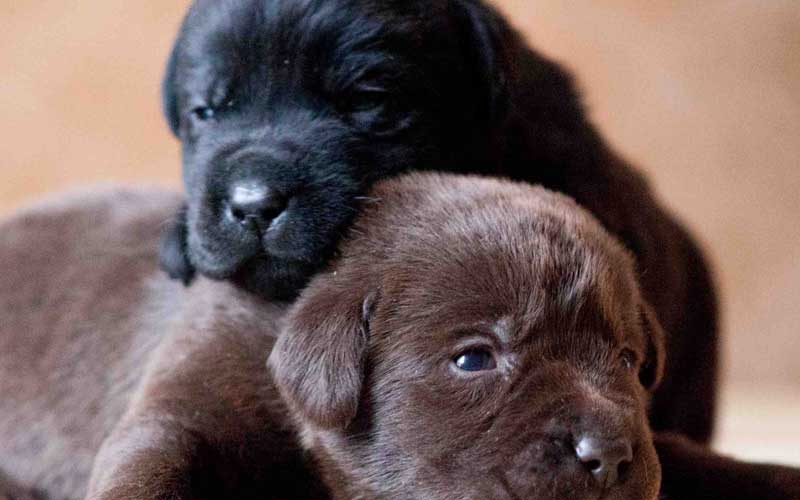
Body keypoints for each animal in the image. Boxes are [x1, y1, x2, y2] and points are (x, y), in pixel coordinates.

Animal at [1, 175, 797, 500]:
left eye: (630, 362)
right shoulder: (192, 393)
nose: (607, 454)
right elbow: (153, 461)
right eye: (474, 359)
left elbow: (696, 459)